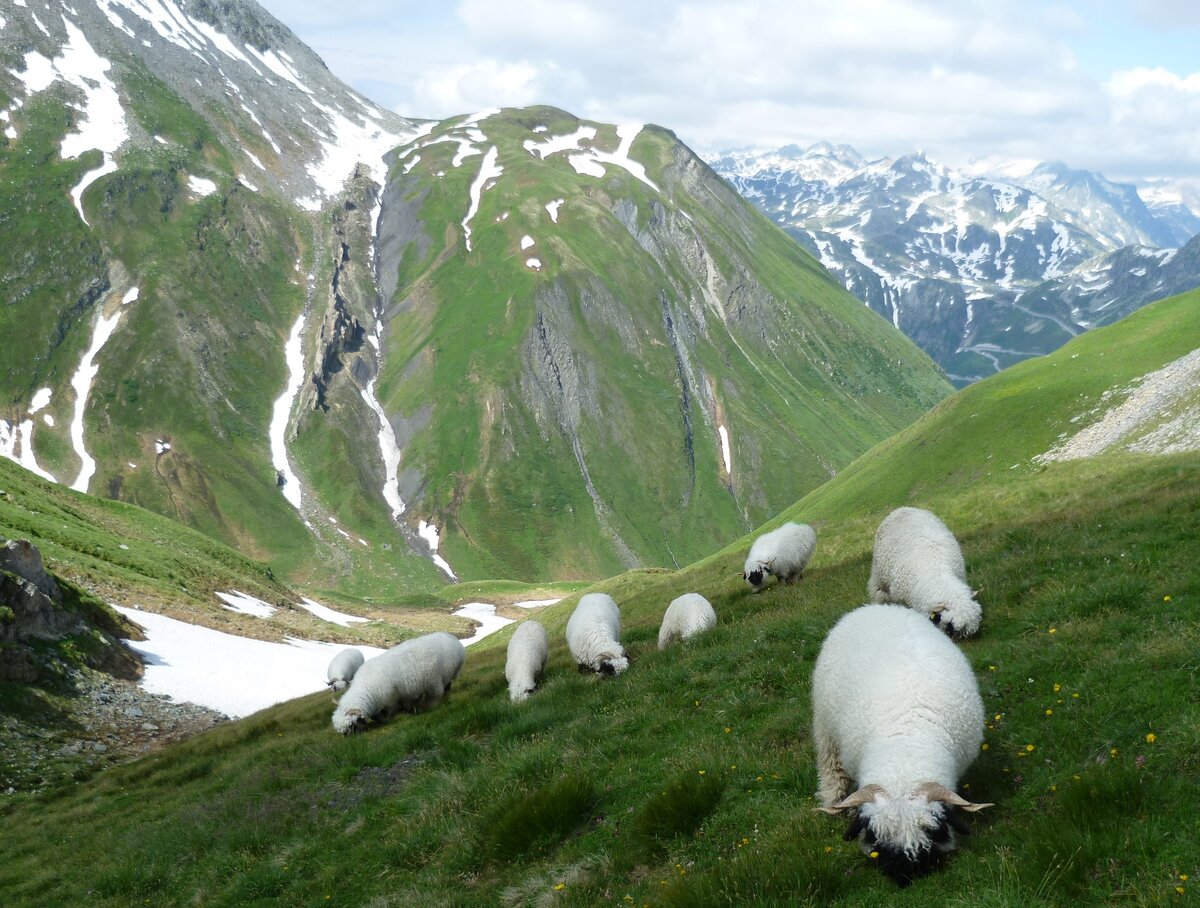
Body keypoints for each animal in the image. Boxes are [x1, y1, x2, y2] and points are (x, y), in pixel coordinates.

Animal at [333, 628, 463, 738]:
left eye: (351, 725)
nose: (352, 739)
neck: (366, 688)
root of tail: (452, 638)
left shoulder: (390, 699)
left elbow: (388, 713)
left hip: (435, 681)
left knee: (437, 694)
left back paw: (432, 705)